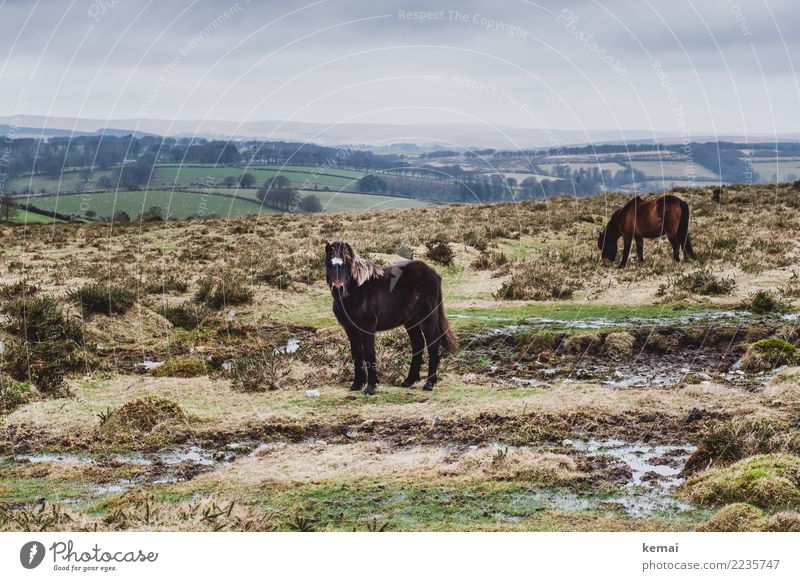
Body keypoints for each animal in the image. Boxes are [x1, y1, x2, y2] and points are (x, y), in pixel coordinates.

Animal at [324, 240, 460, 394]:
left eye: (346, 265)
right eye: (328, 265)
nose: (338, 289)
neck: (357, 291)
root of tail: (434, 273)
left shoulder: (367, 327)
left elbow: (369, 353)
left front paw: (370, 387)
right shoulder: (350, 329)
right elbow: (356, 353)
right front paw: (357, 384)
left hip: (427, 318)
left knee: (432, 344)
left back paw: (429, 383)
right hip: (411, 321)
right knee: (418, 344)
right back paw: (409, 380)